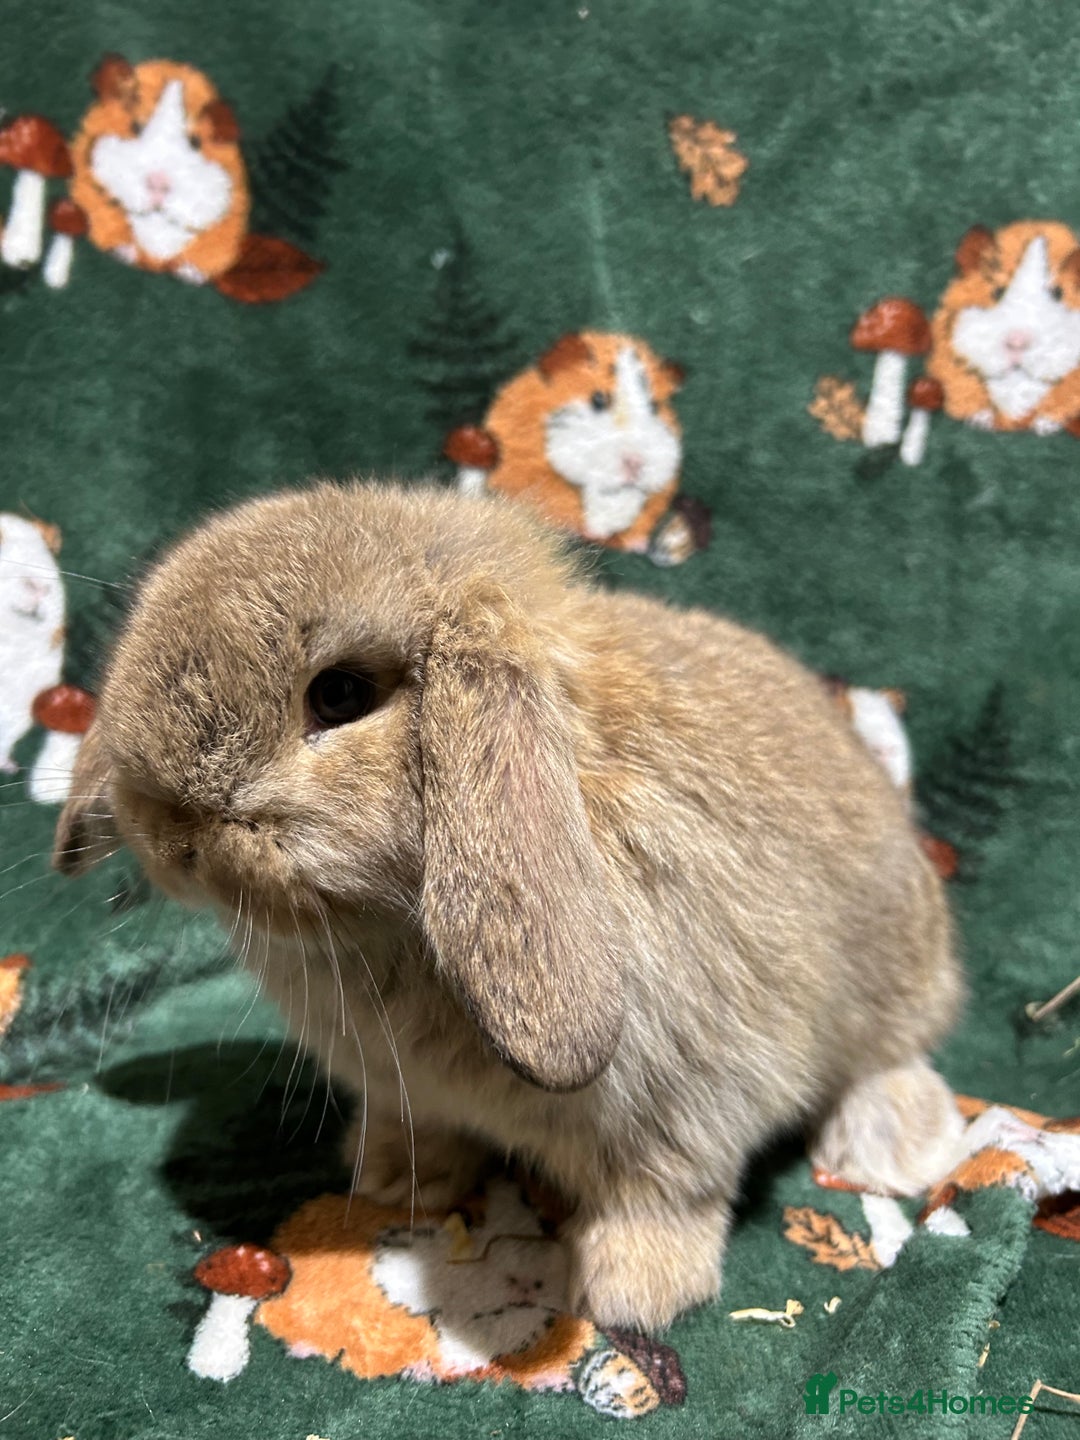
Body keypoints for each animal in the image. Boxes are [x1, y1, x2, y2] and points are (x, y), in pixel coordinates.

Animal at [52, 480, 964, 1331]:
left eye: (340, 695)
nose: (169, 835)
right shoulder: (409, 1090)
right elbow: (420, 1127)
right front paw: (390, 1179)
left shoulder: (691, 1095)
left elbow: (664, 1194)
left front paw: (633, 1295)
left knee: (891, 1056)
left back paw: (893, 1151)